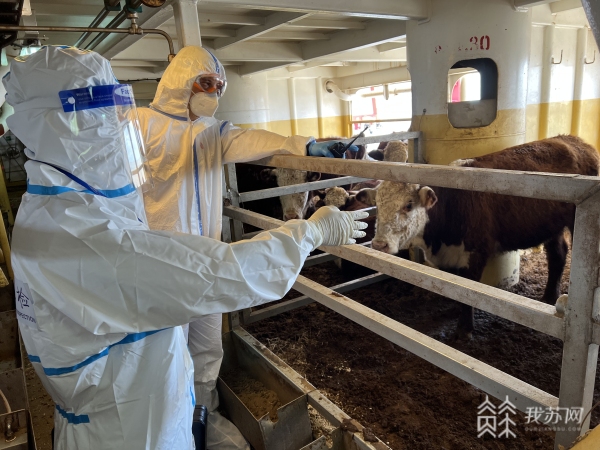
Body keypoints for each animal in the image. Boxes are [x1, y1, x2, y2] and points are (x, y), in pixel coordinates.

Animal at [359, 135, 600, 338]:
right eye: (377, 203)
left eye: (408, 205)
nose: (379, 244)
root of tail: (573, 140)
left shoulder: (476, 252)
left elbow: (467, 291)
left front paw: (464, 329)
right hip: (550, 225)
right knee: (558, 254)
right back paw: (549, 297)